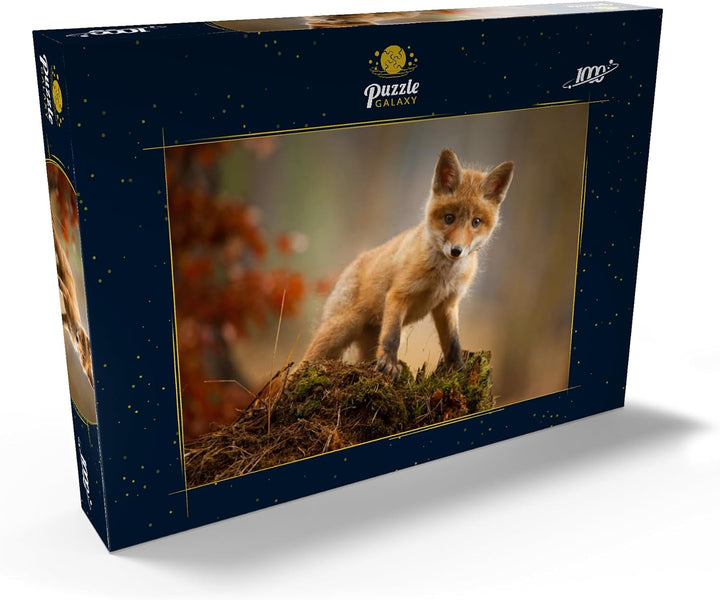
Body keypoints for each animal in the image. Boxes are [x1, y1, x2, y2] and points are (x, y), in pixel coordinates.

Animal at [302, 148, 514, 379]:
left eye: (476, 222)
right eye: (449, 218)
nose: (456, 251)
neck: (442, 276)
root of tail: (352, 264)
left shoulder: (447, 304)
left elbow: (453, 343)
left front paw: (458, 369)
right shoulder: (399, 295)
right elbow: (392, 337)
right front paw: (389, 363)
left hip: (365, 341)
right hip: (340, 330)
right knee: (302, 364)